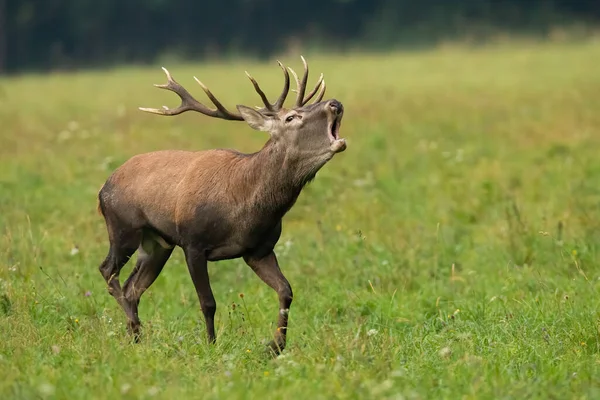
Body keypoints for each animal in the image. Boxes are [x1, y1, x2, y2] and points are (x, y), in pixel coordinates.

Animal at [98, 55, 346, 354]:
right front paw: (211, 345)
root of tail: (103, 188)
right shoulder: (193, 243)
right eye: (291, 117)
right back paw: (135, 326)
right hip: (123, 227)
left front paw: (276, 346)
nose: (335, 103)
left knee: (133, 286)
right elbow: (208, 302)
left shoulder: (259, 250)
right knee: (108, 271)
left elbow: (286, 291)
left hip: (157, 243)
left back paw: (135, 337)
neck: (246, 209)